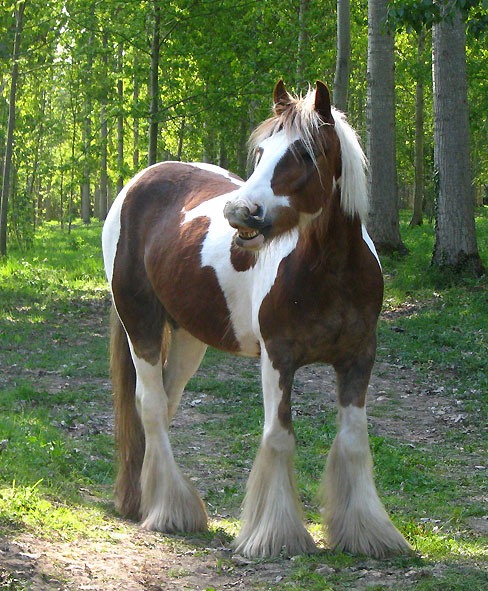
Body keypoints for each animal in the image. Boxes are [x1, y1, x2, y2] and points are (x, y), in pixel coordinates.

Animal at [102, 80, 412, 560]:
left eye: (305, 152)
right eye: (263, 150)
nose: (240, 213)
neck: (329, 272)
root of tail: (136, 183)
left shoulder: (359, 358)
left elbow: (354, 441)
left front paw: (367, 533)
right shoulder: (278, 359)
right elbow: (279, 436)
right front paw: (275, 536)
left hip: (189, 337)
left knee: (162, 404)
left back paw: (144, 499)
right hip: (141, 322)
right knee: (150, 405)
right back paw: (170, 511)